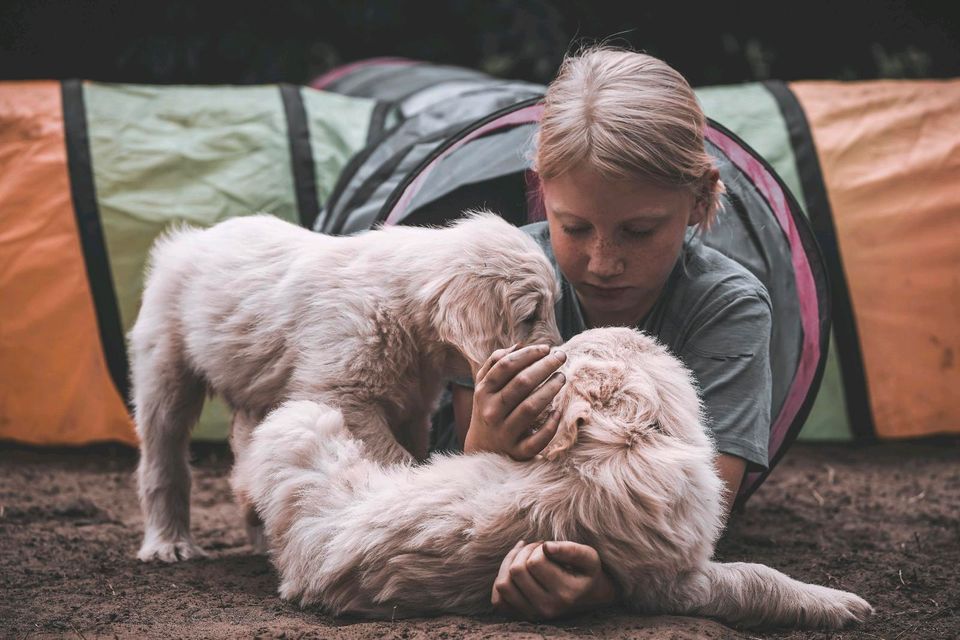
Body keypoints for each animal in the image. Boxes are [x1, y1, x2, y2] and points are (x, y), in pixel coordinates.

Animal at [131, 212, 560, 564]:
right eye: (530, 315)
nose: (560, 352)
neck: (403, 306)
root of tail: (188, 240)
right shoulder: (340, 392)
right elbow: (394, 455)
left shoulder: (412, 408)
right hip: (164, 367)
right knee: (163, 454)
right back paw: (169, 543)